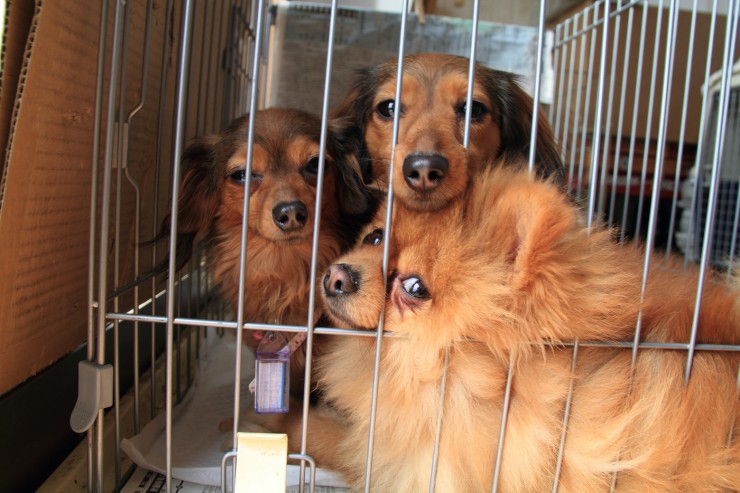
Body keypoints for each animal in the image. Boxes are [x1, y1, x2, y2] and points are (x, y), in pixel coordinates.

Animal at [253, 166, 740, 492]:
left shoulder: (426, 458)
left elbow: (334, 437)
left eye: (415, 287)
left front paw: (285, 420)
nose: (337, 276)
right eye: (374, 238)